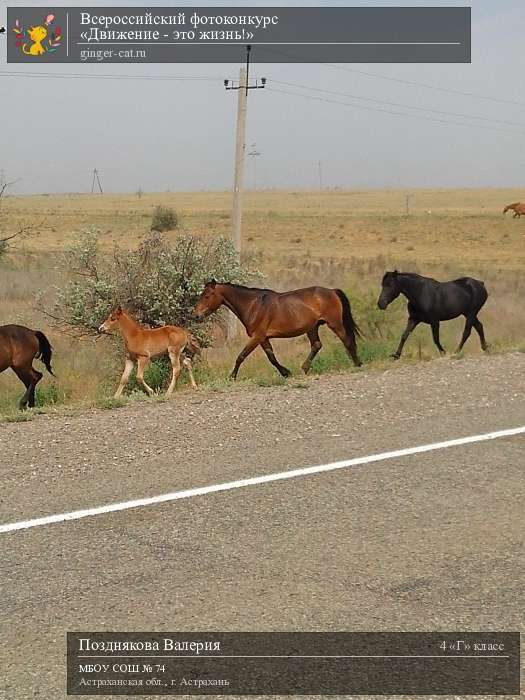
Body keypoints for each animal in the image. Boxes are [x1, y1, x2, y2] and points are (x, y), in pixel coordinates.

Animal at [191, 280, 360, 380]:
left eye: (207, 295)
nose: (196, 315)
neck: (253, 305)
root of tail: (332, 291)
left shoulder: (257, 337)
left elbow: (241, 356)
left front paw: (232, 377)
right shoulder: (264, 338)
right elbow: (271, 358)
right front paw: (286, 373)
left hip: (335, 324)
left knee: (347, 341)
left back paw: (357, 364)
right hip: (312, 327)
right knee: (317, 345)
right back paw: (304, 369)